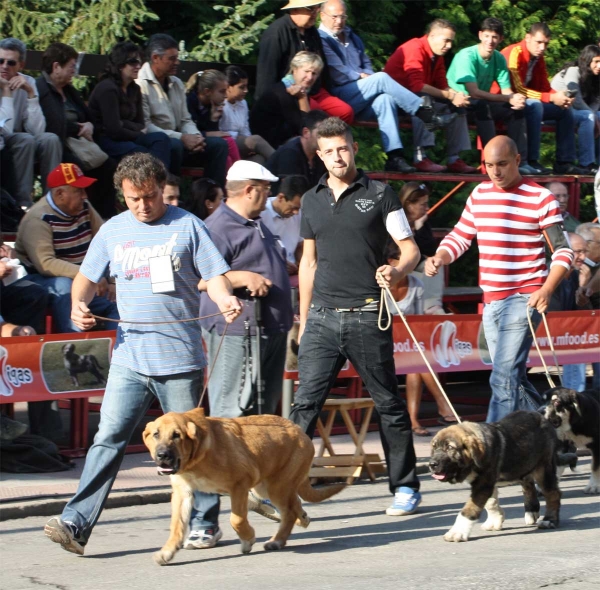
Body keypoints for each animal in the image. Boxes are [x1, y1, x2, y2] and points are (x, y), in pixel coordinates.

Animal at [142, 410, 344, 568]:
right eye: (156, 434)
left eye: (176, 435)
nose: (162, 455)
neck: (198, 456)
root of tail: (300, 430)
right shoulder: (182, 493)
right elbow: (176, 525)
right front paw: (167, 552)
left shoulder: (240, 484)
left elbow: (236, 519)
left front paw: (248, 539)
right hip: (267, 486)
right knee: (294, 505)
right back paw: (299, 520)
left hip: (275, 486)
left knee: (288, 511)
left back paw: (277, 540)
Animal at [428, 412, 560, 544]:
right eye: (434, 448)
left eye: (450, 448)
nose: (432, 464)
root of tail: (541, 417)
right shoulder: (486, 482)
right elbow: (490, 503)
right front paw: (495, 520)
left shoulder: (483, 483)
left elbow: (470, 508)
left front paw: (457, 532)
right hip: (524, 463)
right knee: (528, 484)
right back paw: (531, 511)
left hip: (543, 468)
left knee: (552, 493)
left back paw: (549, 520)